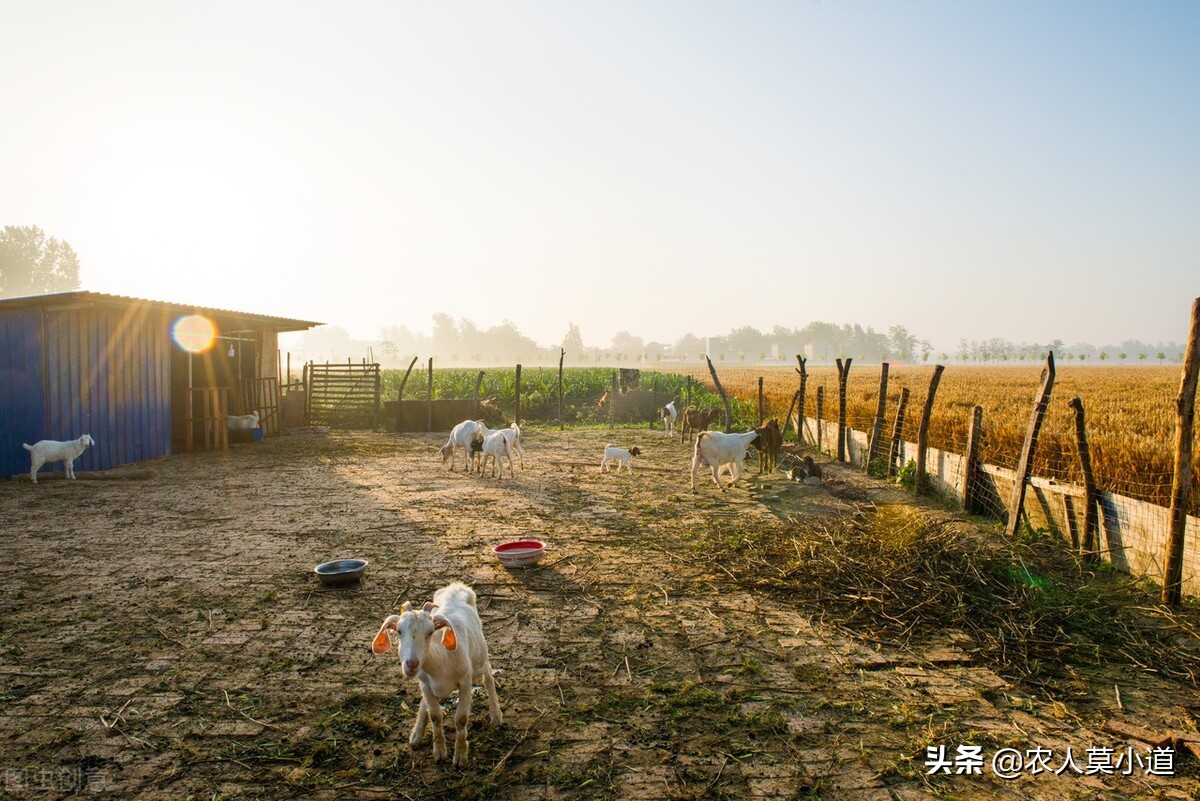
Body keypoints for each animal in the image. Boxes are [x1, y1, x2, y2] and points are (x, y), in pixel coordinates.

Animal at [369, 582, 501, 767]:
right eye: (399, 631)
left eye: (430, 632)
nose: (412, 664)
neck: (441, 661)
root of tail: (456, 585)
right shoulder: (425, 685)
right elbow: (435, 716)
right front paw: (439, 751)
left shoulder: (465, 682)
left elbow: (461, 719)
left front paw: (460, 756)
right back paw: (417, 734)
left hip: (480, 656)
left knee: (488, 674)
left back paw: (495, 715)